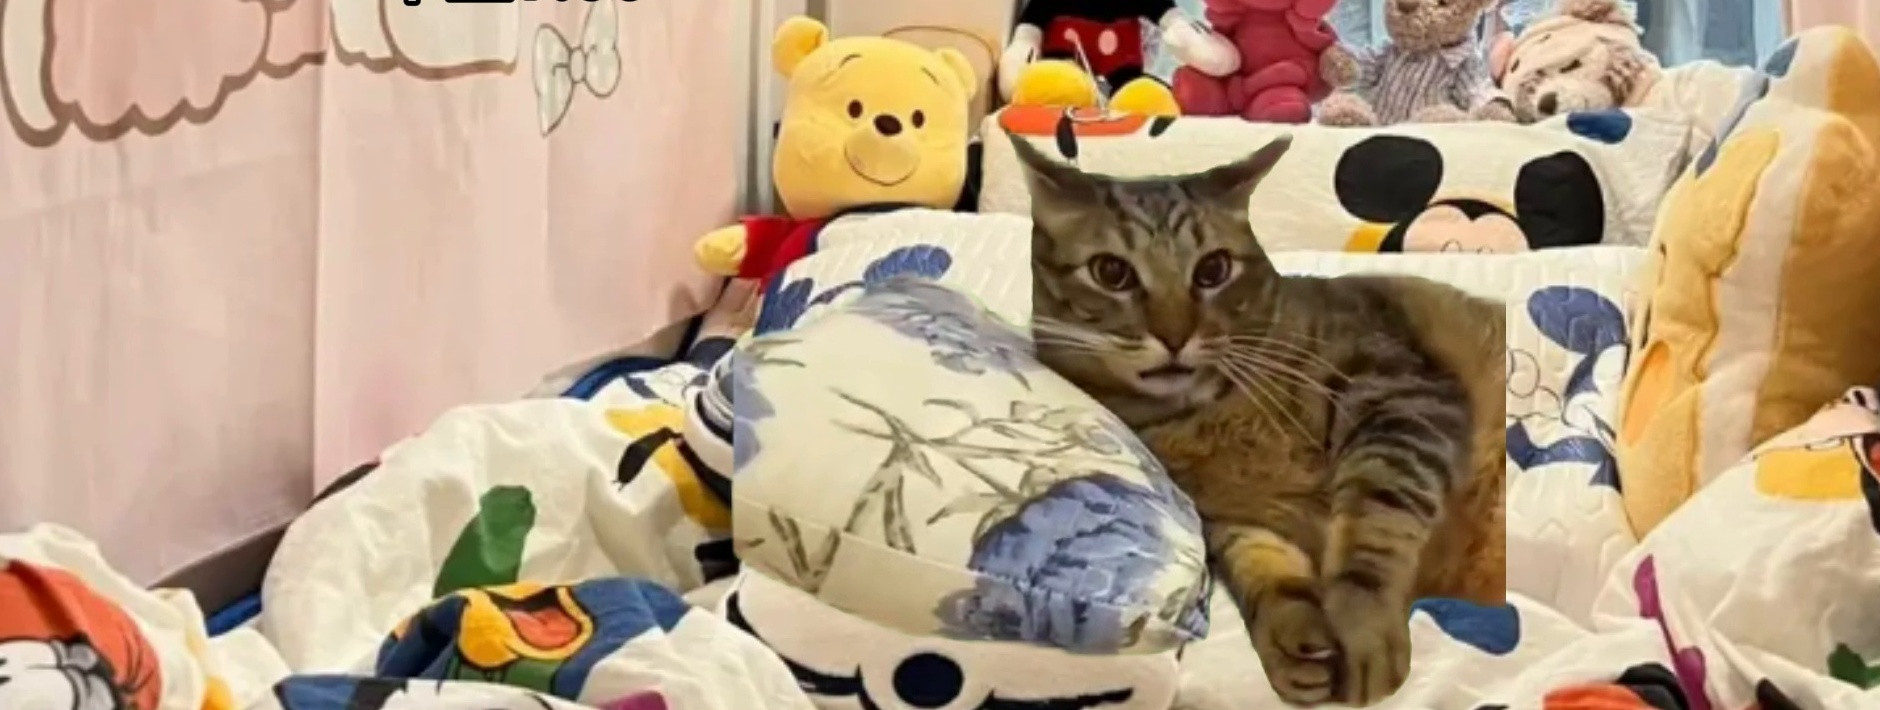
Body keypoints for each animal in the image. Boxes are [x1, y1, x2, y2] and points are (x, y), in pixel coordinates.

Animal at [1012, 133, 1506, 707]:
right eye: (1111, 272)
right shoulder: (1235, 519)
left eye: (1213, 269)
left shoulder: (1402, 393)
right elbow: (1268, 575)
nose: (1175, 336)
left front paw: (1361, 627)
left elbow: (1373, 524)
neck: (1202, 415)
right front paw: (1292, 637)